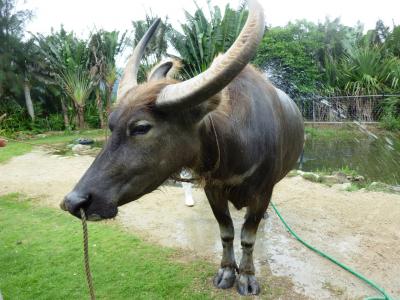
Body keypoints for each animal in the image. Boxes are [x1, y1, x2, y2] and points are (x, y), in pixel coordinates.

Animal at [61, 0, 304, 296]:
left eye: (141, 127)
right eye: (111, 125)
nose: (74, 201)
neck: (236, 145)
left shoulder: (261, 193)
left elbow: (248, 236)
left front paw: (246, 277)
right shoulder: (213, 189)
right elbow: (226, 232)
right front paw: (226, 271)